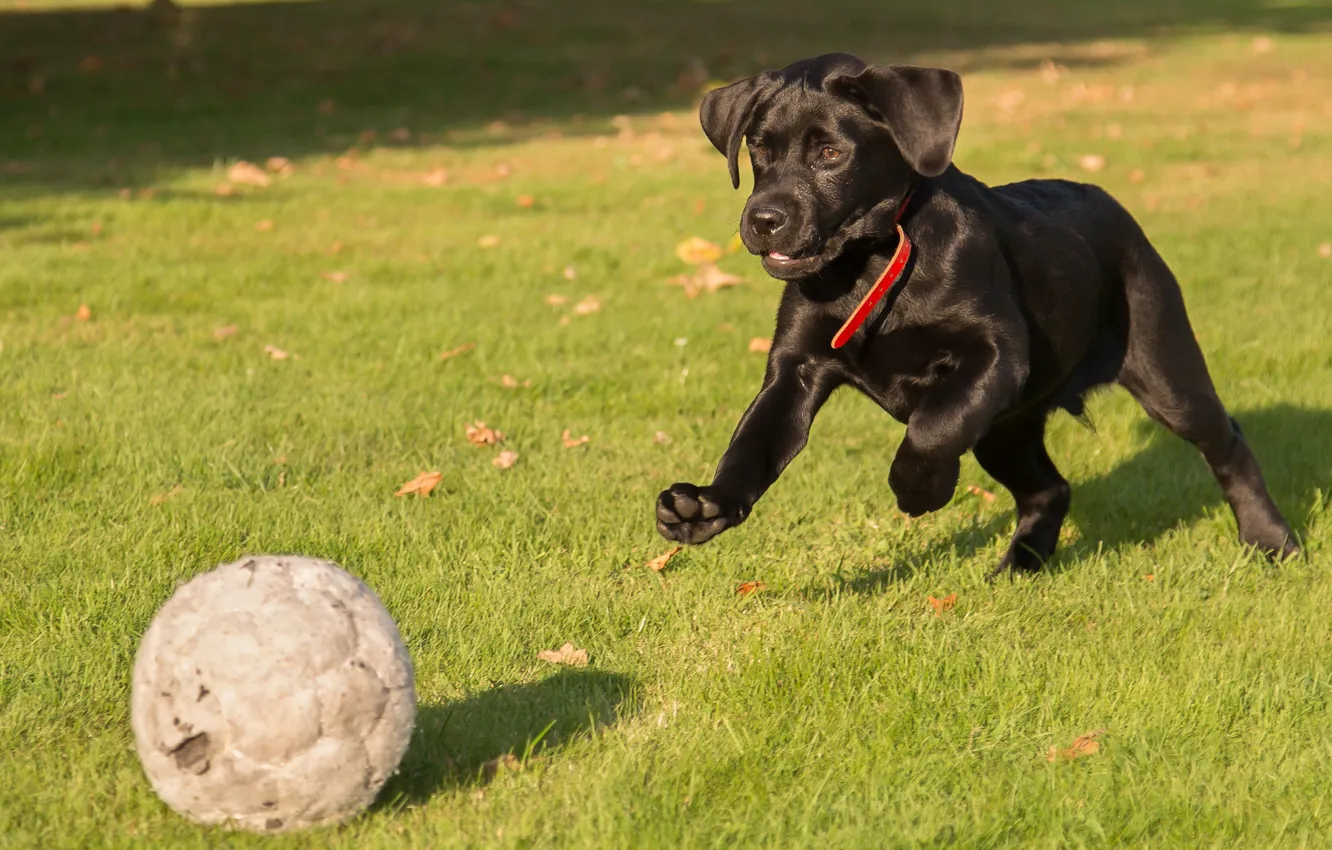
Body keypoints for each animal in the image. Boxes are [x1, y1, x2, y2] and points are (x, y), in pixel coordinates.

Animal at [655, 51, 1300, 572]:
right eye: (758, 149)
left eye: (830, 153)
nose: (762, 219)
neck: (873, 262)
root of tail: (1111, 202)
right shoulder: (797, 369)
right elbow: (752, 446)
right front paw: (703, 507)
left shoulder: (996, 352)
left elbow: (931, 428)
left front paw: (921, 491)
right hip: (1005, 428)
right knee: (1050, 489)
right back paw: (1022, 565)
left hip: (1163, 367)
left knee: (1227, 442)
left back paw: (1273, 541)